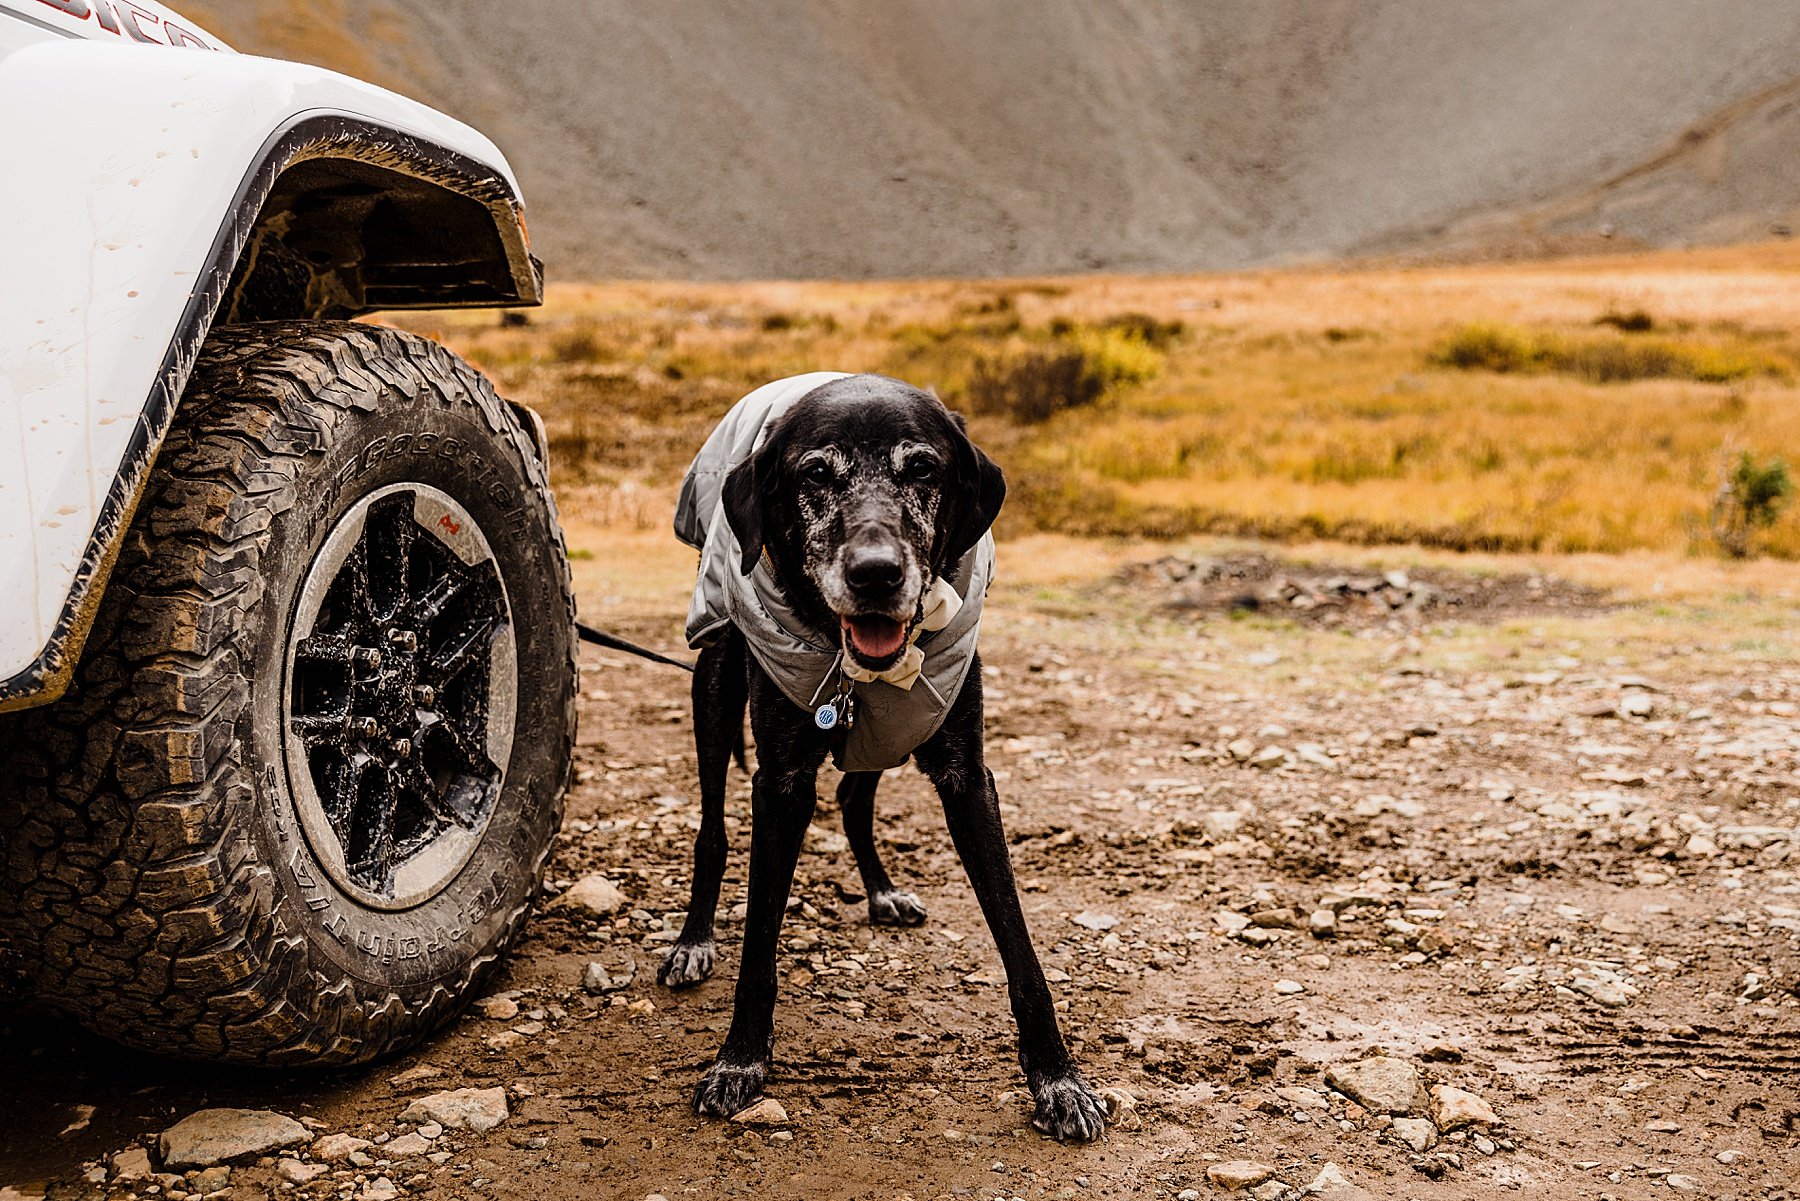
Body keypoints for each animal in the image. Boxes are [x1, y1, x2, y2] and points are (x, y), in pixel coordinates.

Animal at [666, 376, 1108, 1145]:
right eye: (814, 473)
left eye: (923, 468)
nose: (876, 574)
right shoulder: (780, 785)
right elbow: (759, 942)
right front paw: (741, 1058)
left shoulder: (967, 777)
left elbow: (1019, 945)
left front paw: (1058, 1077)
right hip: (713, 689)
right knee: (713, 831)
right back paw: (694, 938)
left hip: (882, 732)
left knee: (853, 799)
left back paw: (880, 890)